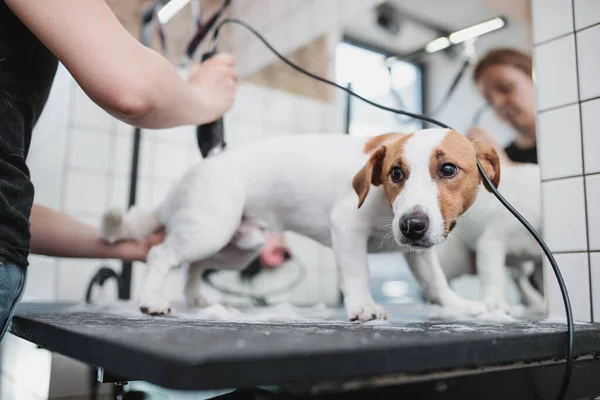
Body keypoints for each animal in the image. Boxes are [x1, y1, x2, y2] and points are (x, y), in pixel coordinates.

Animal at [101, 129, 500, 322]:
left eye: (448, 169)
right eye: (396, 174)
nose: (411, 226)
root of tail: (190, 173)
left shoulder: (417, 251)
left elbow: (435, 281)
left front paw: (458, 305)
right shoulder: (346, 227)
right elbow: (357, 274)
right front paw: (363, 306)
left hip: (238, 246)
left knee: (195, 264)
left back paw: (197, 297)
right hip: (209, 228)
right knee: (161, 254)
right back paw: (152, 300)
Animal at [434, 162, 548, 312]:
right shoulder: (491, 243)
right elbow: (492, 274)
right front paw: (494, 303)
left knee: (518, 277)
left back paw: (535, 302)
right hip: (457, 260)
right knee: (445, 274)